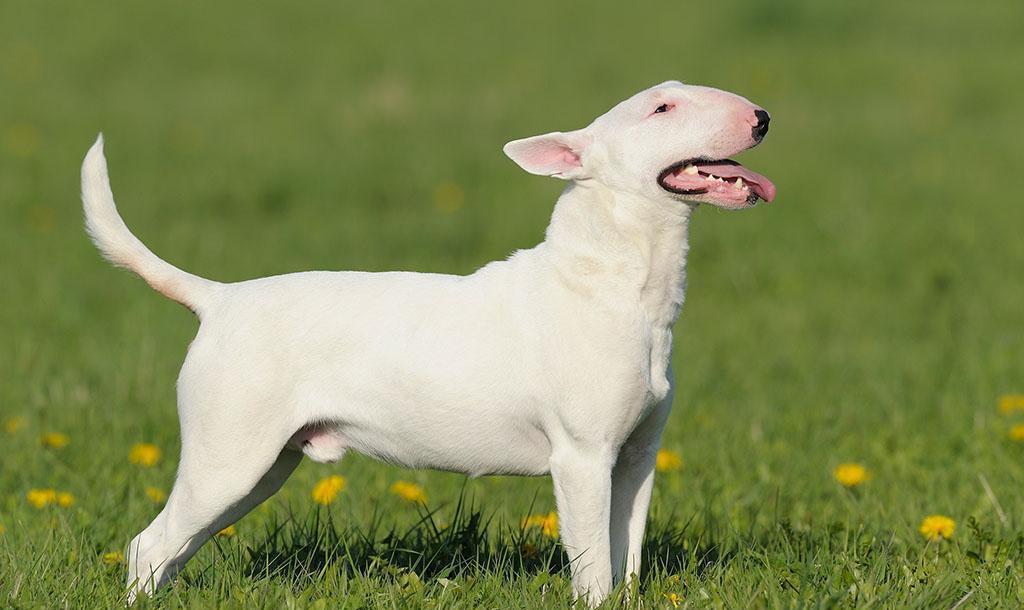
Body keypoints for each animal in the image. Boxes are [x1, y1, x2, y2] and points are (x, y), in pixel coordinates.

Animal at [83, 79, 770, 605]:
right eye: (661, 108)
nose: (762, 117)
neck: (614, 282)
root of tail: (220, 299)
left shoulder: (635, 460)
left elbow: (625, 558)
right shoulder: (581, 458)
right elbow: (594, 568)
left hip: (262, 467)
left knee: (173, 549)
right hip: (227, 457)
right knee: (148, 545)